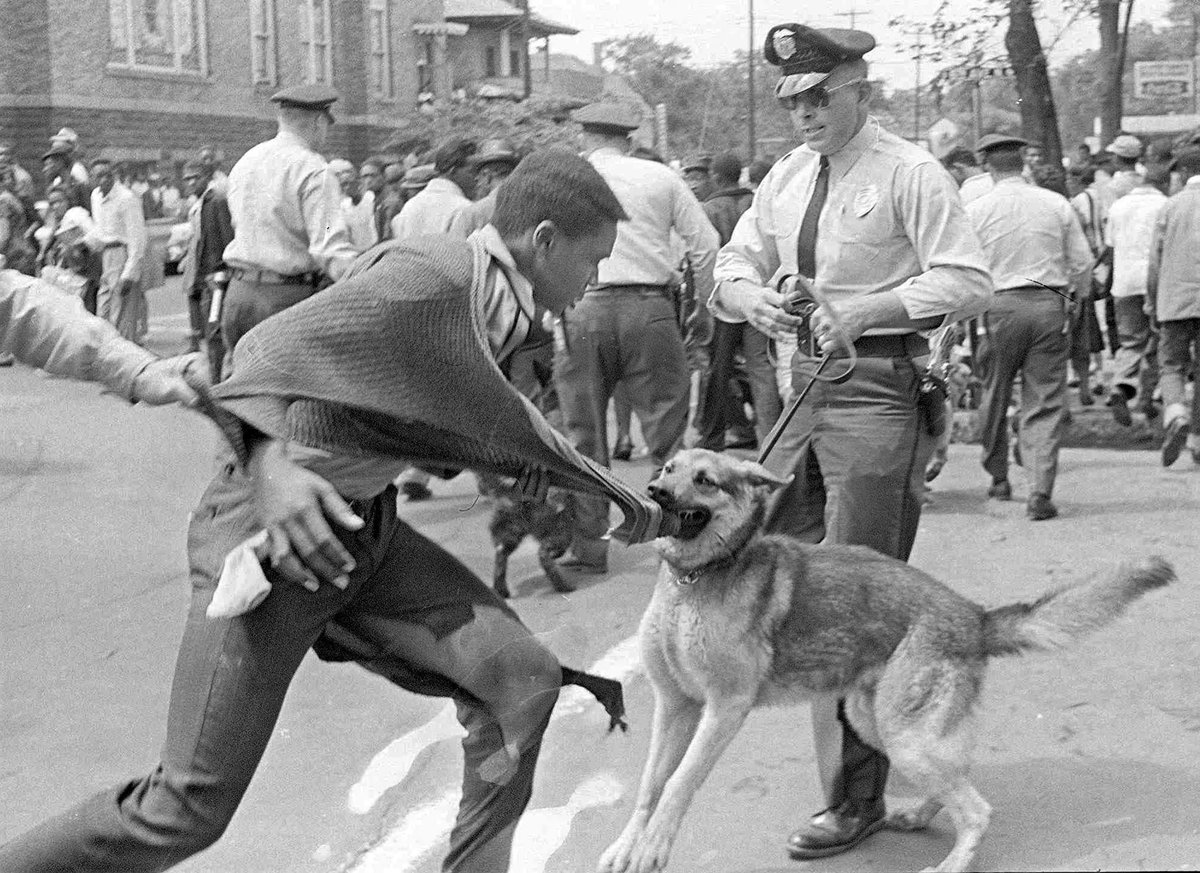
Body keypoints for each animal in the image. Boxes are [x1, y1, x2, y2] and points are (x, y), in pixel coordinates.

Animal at [597, 450, 1171, 873]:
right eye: (668, 469)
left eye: (706, 480)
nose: (655, 492)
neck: (694, 580)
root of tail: (974, 617)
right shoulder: (675, 707)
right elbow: (650, 783)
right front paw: (627, 846)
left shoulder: (723, 710)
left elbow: (678, 782)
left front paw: (653, 849)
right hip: (876, 723)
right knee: (956, 777)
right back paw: (919, 814)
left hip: (904, 735)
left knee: (978, 810)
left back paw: (952, 865)